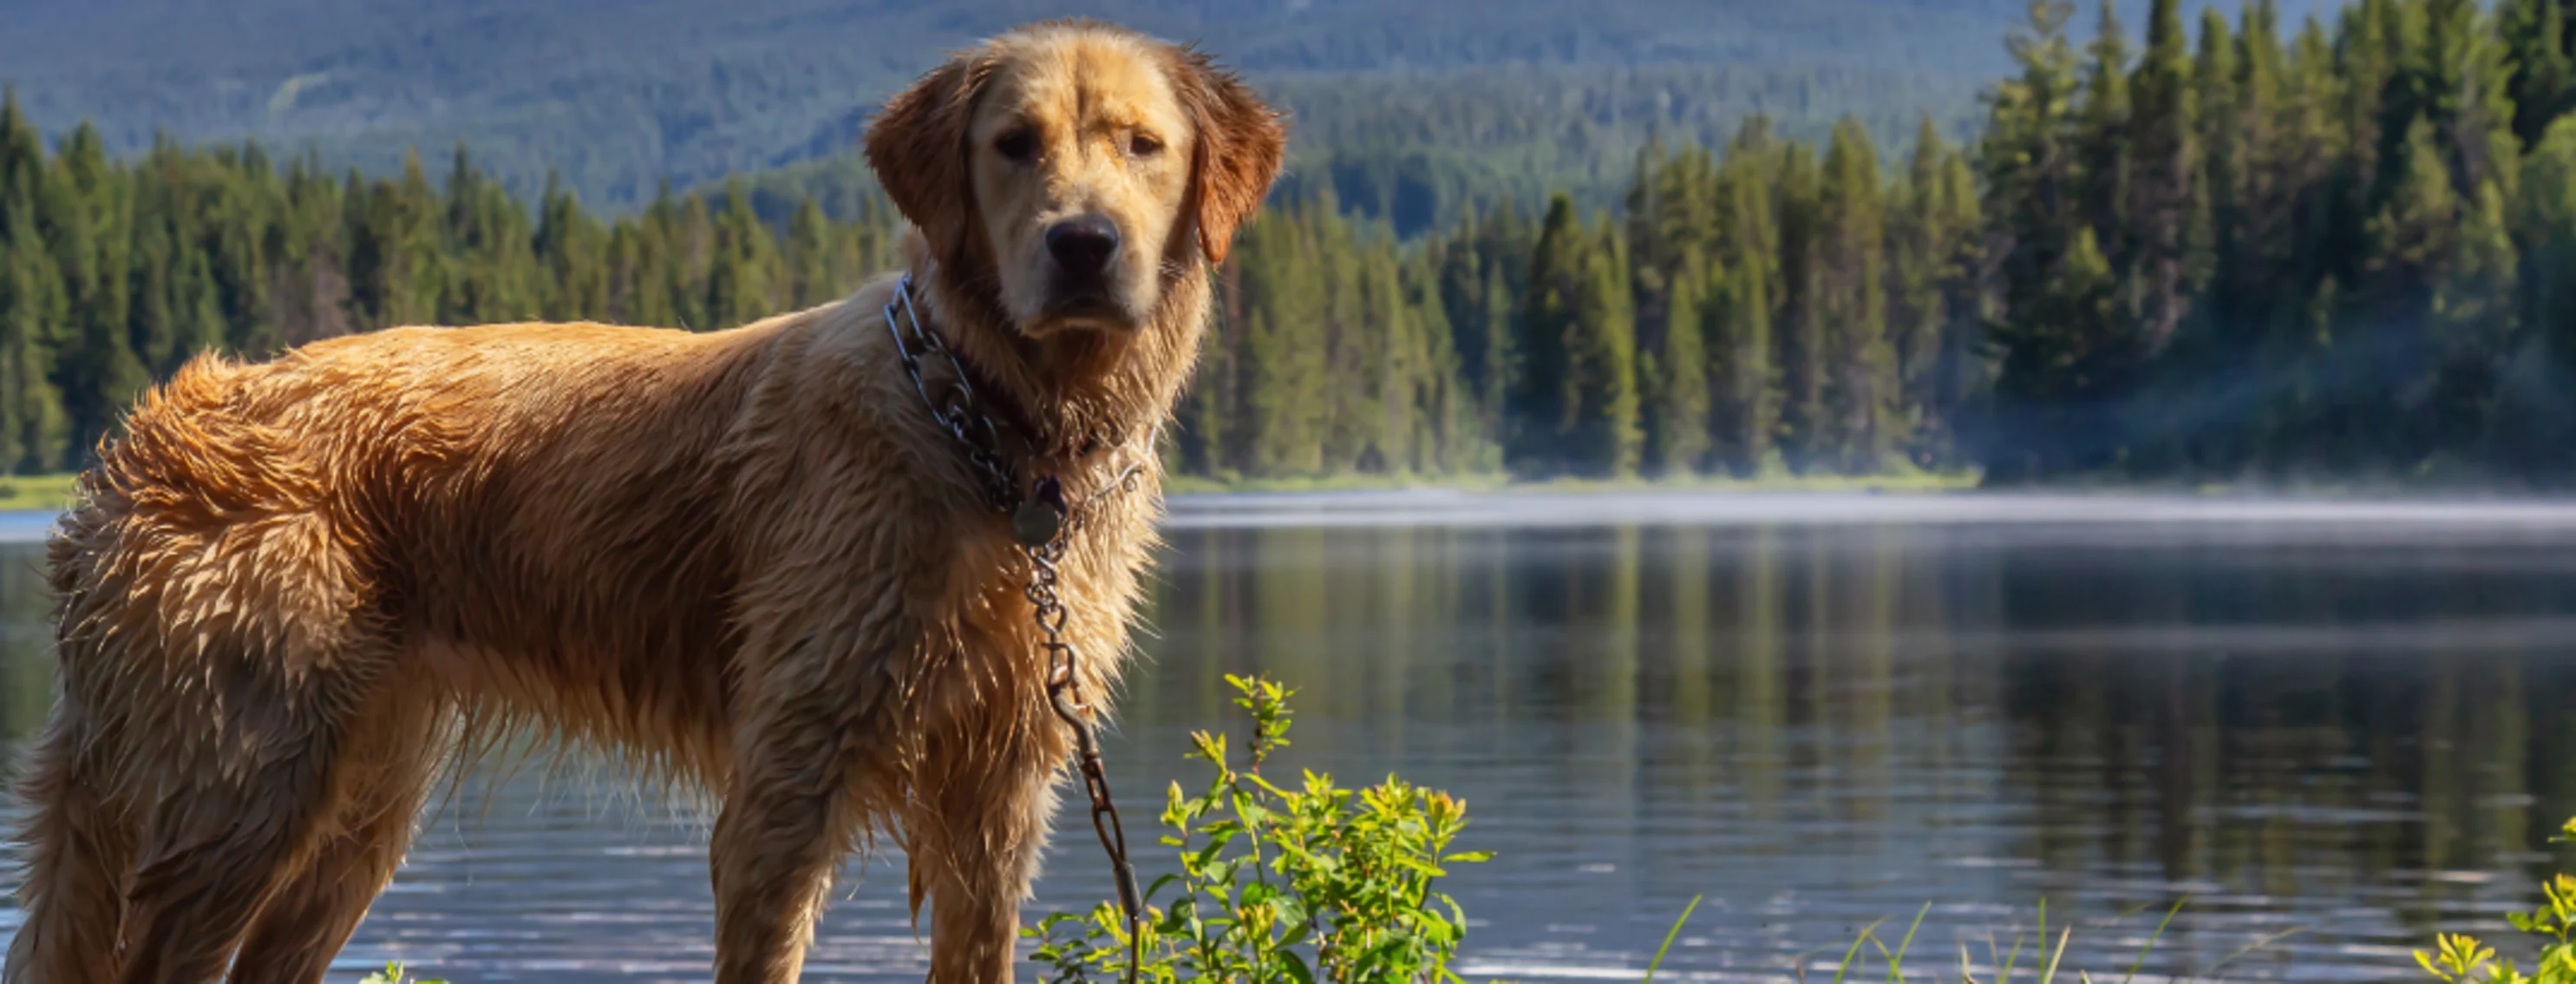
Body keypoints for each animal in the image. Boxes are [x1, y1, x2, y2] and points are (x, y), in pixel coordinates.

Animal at [2, 23, 1288, 984]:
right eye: (1015, 144)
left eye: (1143, 145)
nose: (1085, 245)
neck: (989, 432)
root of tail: (147, 435)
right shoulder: (788, 776)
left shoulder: (1001, 790)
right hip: (247, 771)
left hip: (356, 794)